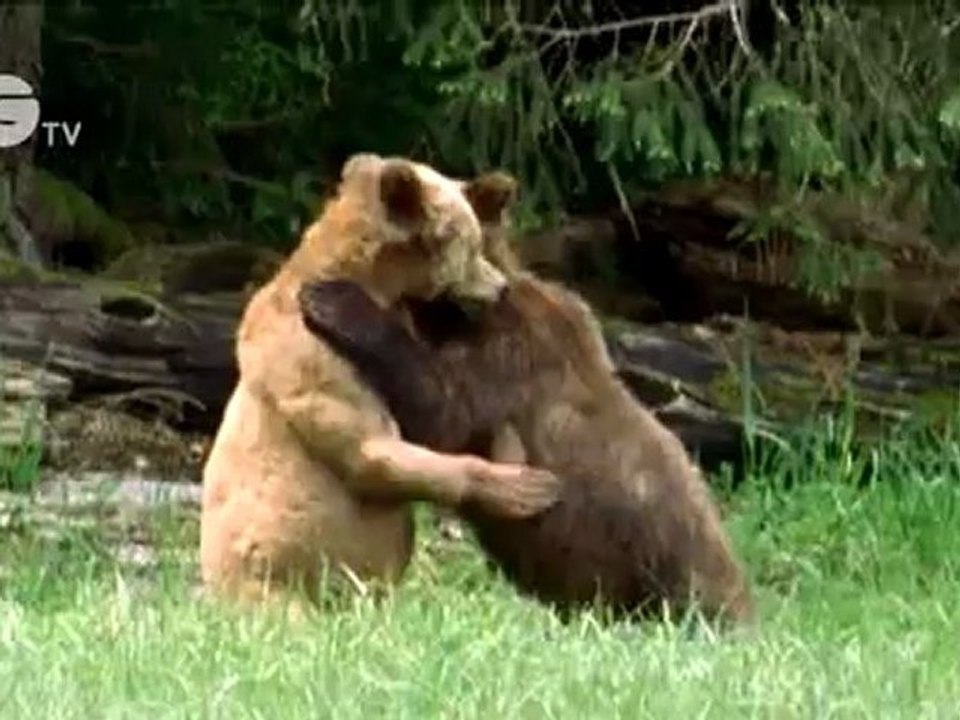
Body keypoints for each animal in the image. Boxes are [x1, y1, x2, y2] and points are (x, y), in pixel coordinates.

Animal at [199, 155, 561, 612]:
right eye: (472, 245)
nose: (500, 287)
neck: (374, 282)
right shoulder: (316, 356)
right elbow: (372, 449)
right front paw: (524, 488)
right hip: (271, 580)